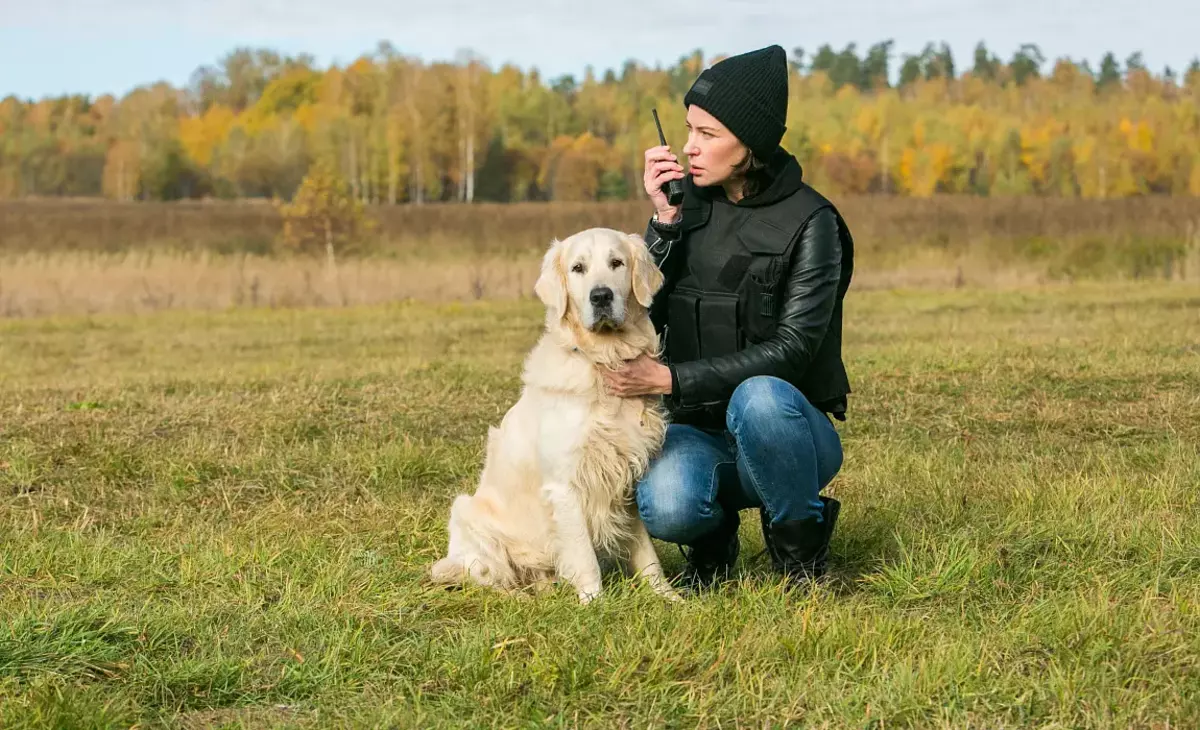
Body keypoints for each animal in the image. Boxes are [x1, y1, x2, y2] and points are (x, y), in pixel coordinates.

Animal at [429, 228, 676, 605]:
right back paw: (521, 600)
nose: (601, 296)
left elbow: (646, 551)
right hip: (467, 516)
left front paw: (668, 597)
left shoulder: (627, 476)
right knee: (491, 580)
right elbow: (584, 556)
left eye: (616, 263)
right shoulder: (565, 486)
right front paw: (595, 604)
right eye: (578, 268)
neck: (602, 359)